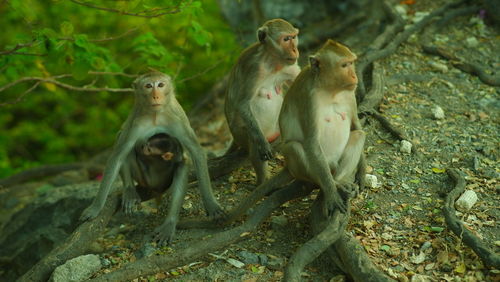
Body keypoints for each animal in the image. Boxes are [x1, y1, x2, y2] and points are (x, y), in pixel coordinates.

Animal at [81, 72, 226, 245]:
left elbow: (196, 151)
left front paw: (211, 205)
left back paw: (169, 224)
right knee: (124, 144)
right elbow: (118, 155)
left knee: (182, 164)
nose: (156, 96)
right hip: (144, 179)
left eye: (161, 85)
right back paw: (130, 191)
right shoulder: (136, 124)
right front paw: (95, 207)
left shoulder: (176, 121)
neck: (156, 115)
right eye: (148, 86)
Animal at [224, 18, 300, 185]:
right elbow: (242, 103)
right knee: (252, 142)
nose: (295, 50)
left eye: (293, 37)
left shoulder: (289, 66)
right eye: (286, 39)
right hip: (240, 134)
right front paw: (263, 145)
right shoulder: (255, 68)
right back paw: (262, 182)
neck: (273, 61)